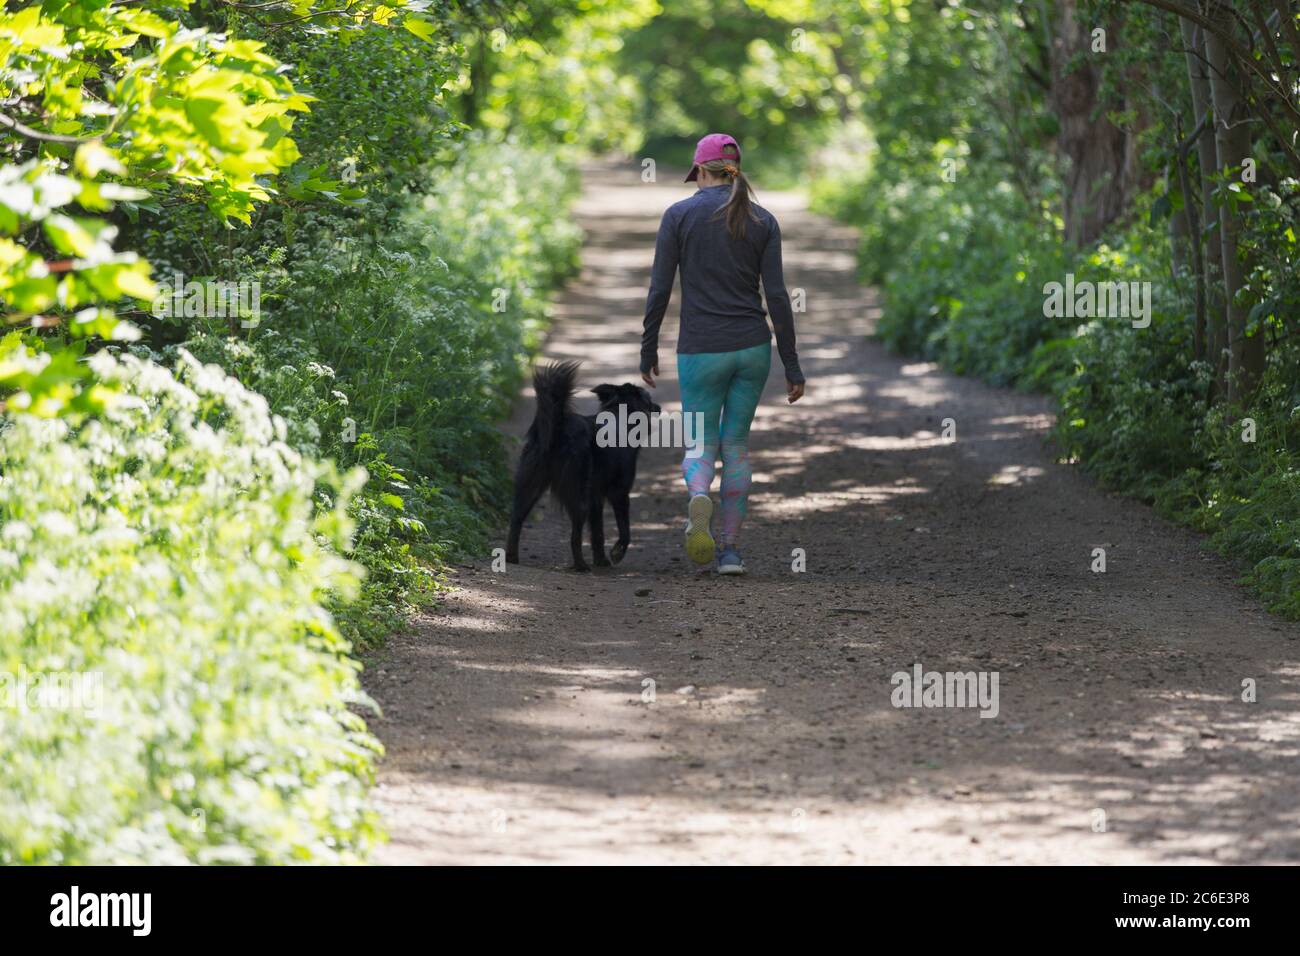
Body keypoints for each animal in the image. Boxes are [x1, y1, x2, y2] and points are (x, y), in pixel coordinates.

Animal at [504, 358, 660, 567]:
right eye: (649, 398)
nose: (658, 406)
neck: (620, 414)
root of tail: (559, 427)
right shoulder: (619, 492)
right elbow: (625, 530)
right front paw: (617, 553)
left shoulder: (596, 496)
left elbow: (598, 533)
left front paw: (601, 560)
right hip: (577, 494)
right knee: (574, 535)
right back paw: (580, 565)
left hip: (529, 486)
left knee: (516, 520)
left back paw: (511, 557)